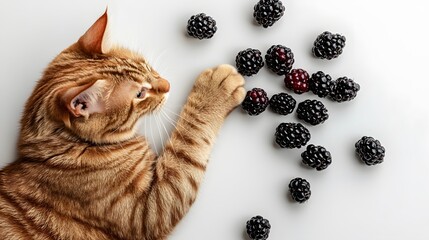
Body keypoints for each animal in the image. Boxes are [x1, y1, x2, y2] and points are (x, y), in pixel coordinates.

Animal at [0, 10, 246, 239]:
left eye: (148, 67)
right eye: (140, 94)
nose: (167, 85)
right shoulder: (151, 209)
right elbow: (189, 139)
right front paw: (213, 91)